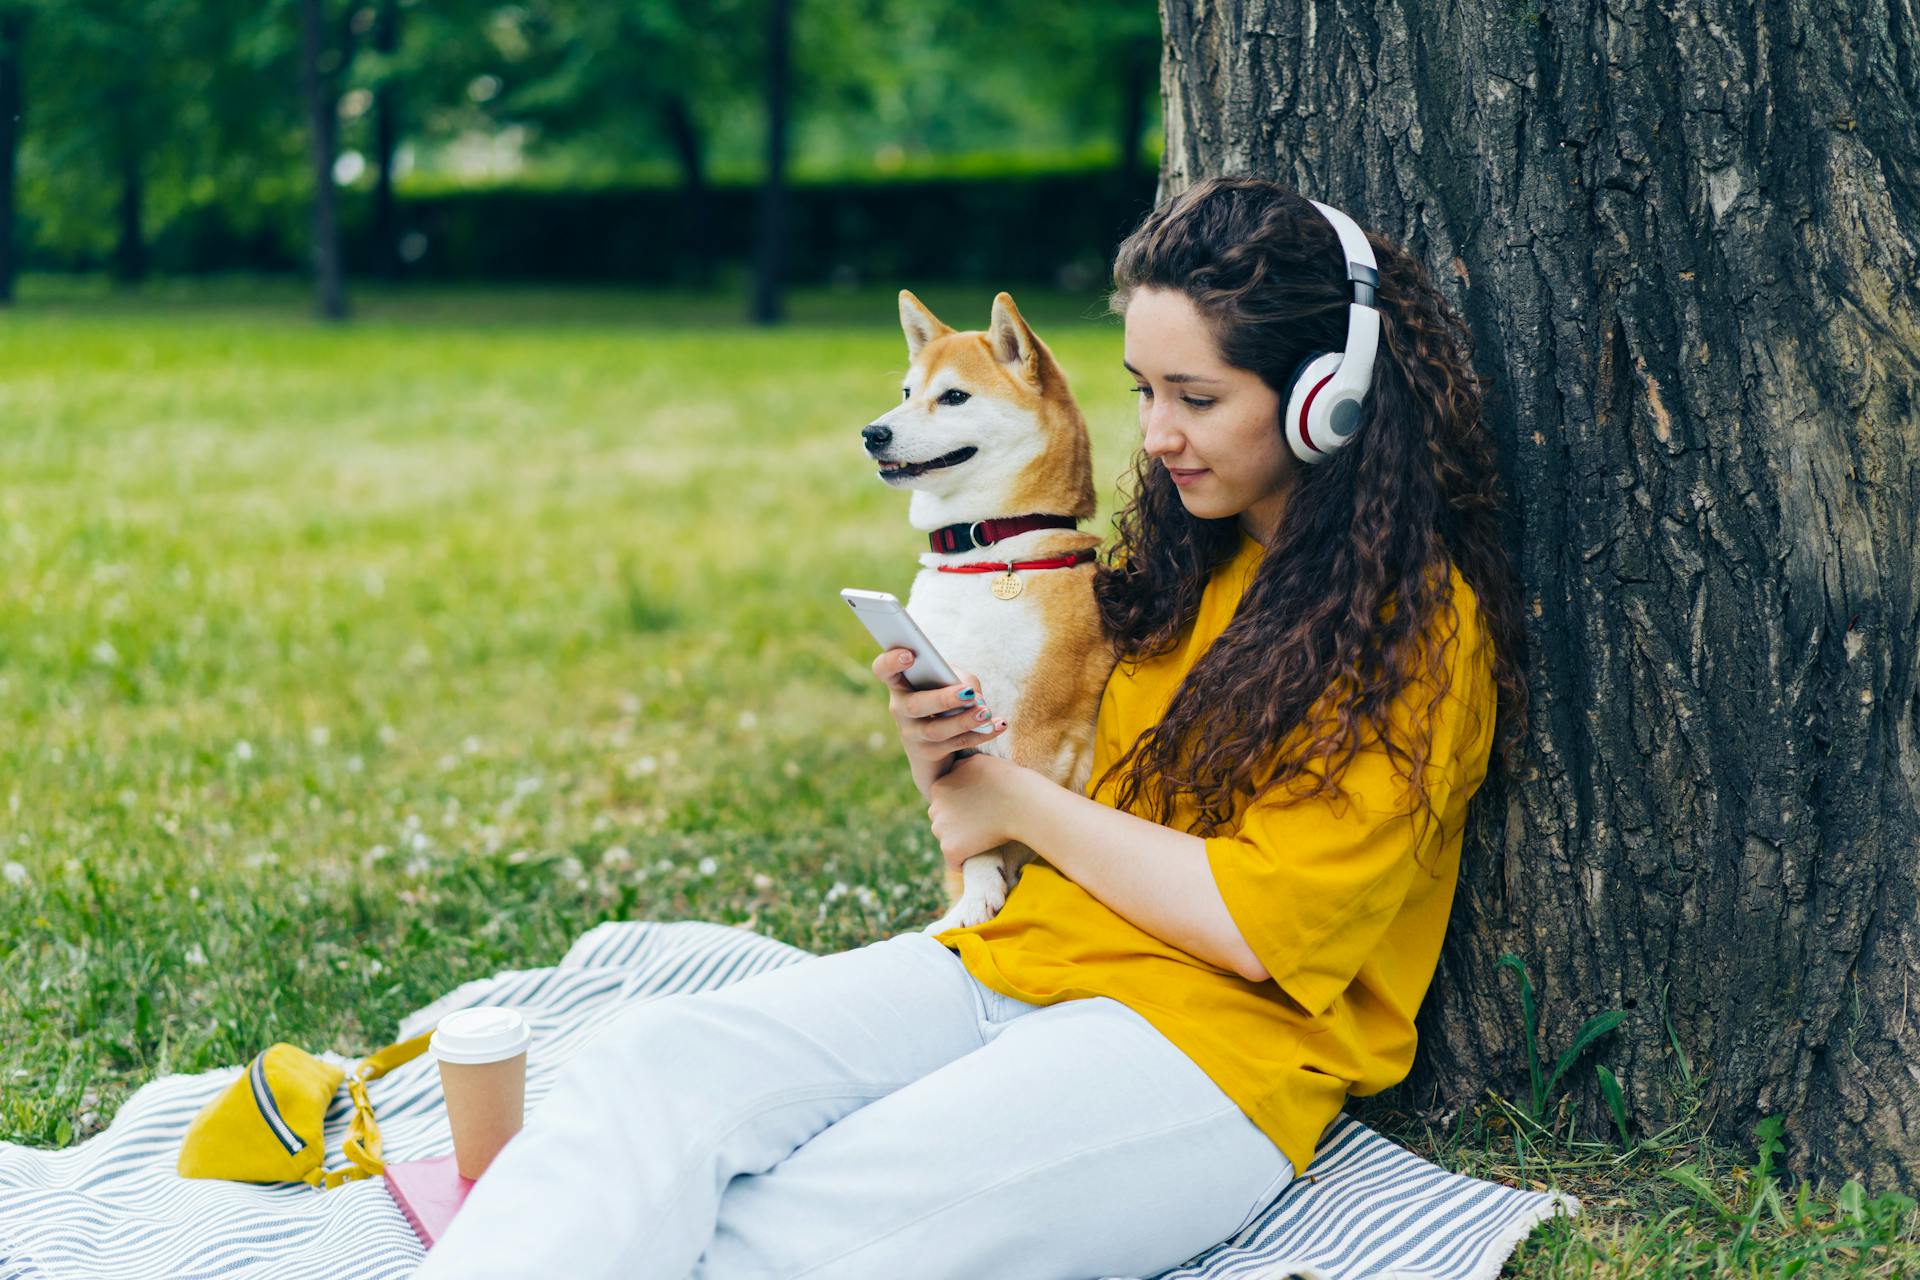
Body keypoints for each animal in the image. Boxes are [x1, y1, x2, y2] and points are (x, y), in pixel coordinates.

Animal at [867, 289, 1121, 932]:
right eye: (906, 392)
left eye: (954, 396)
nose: (872, 433)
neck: (983, 557)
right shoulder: (953, 720)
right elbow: (979, 836)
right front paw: (974, 895)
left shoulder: (1038, 730)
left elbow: (1009, 823)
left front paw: (994, 899)